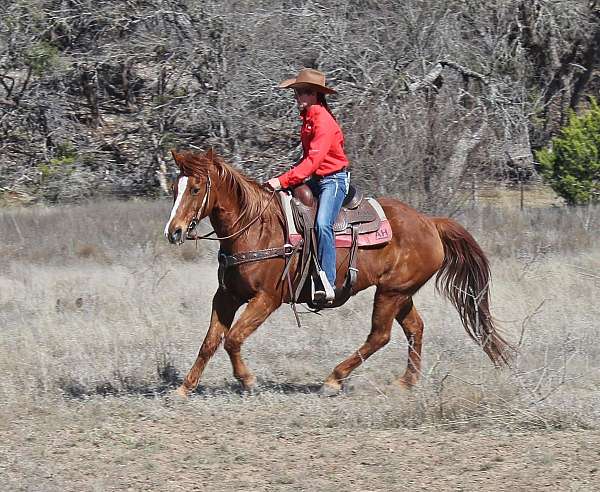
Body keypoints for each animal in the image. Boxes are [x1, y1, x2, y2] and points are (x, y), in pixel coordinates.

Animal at [164, 149, 510, 396]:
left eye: (196, 188)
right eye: (174, 189)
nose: (174, 231)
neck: (255, 229)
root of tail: (430, 222)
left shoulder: (267, 299)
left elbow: (233, 338)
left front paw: (248, 381)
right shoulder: (226, 296)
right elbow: (210, 342)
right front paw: (184, 387)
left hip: (391, 292)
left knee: (380, 335)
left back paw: (333, 379)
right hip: (401, 292)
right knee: (415, 328)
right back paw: (406, 382)